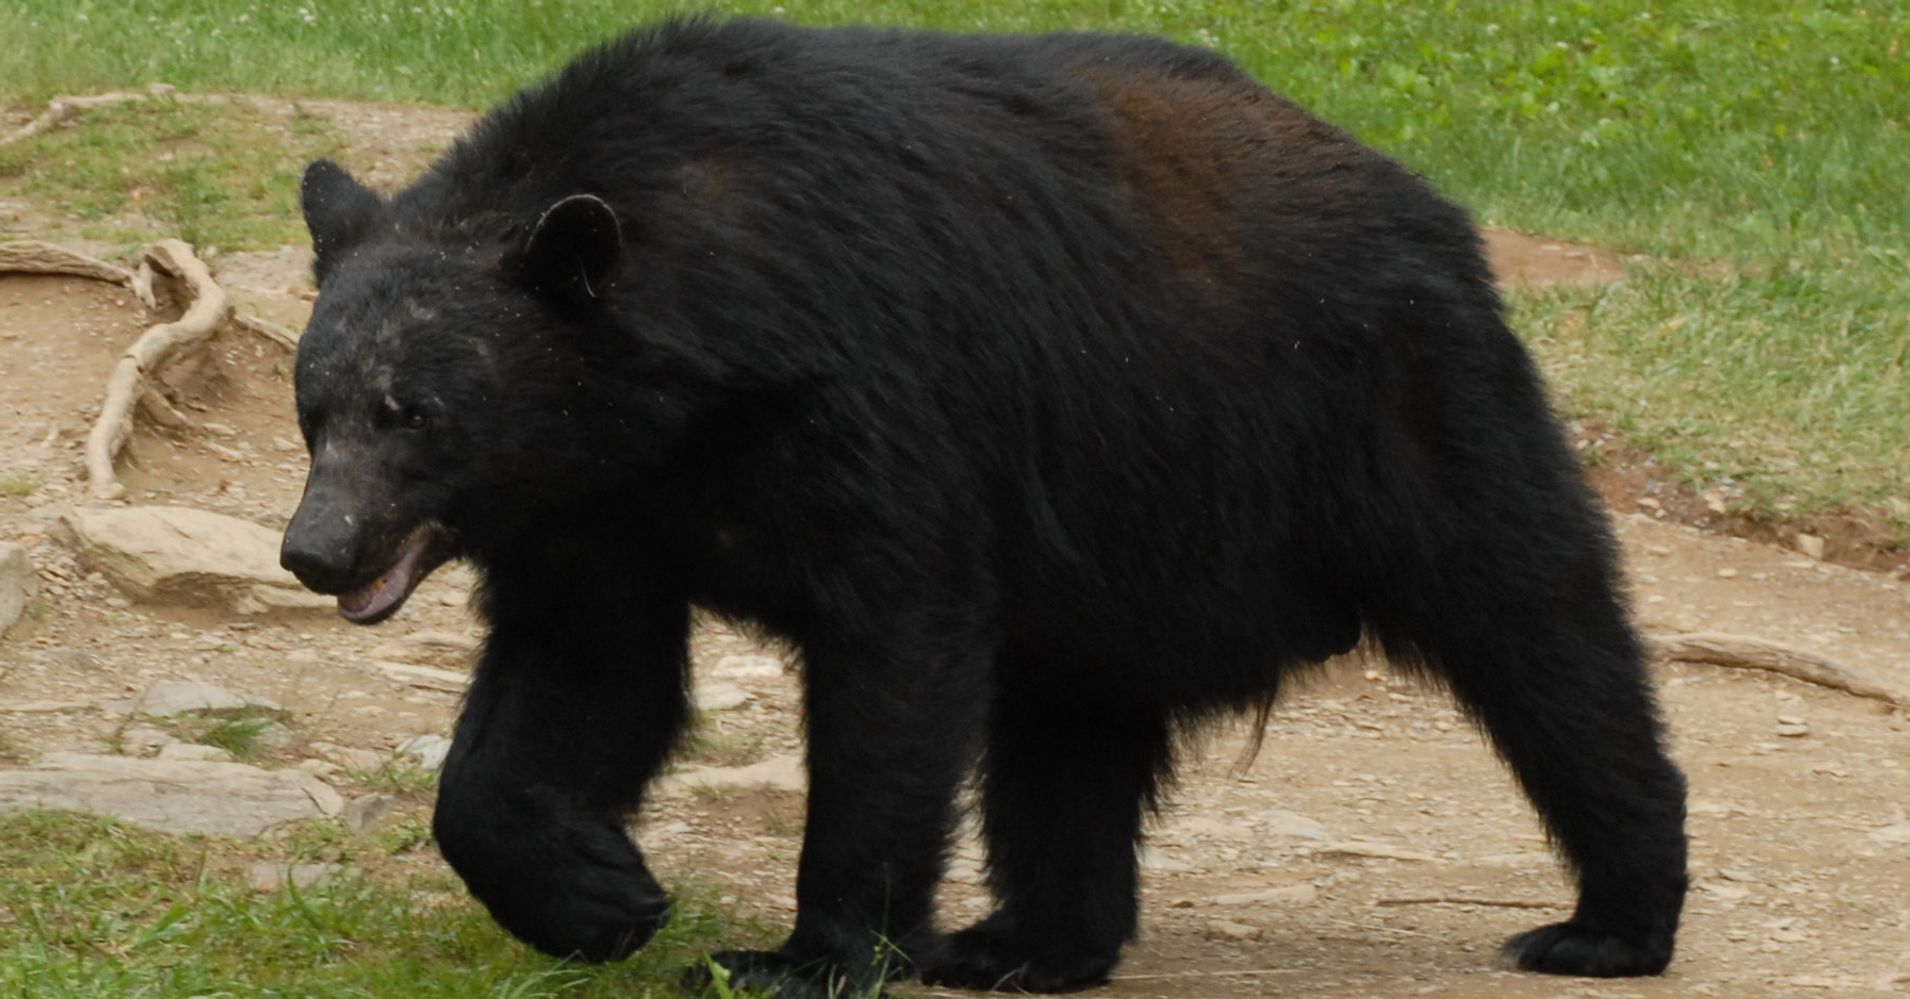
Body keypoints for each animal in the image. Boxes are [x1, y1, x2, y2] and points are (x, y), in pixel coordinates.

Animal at [278, 17, 1688, 999]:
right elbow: (580, 676)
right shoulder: (596, 507)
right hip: (1116, 539)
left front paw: (800, 953)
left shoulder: (880, 406)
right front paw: (601, 893)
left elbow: (893, 660)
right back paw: (1024, 944)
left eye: (414, 411)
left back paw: (1608, 919)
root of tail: (1428, 204)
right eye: (315, 405)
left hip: (1398, 417)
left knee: (1539, 636)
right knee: (1065, 730)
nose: (315, 550)